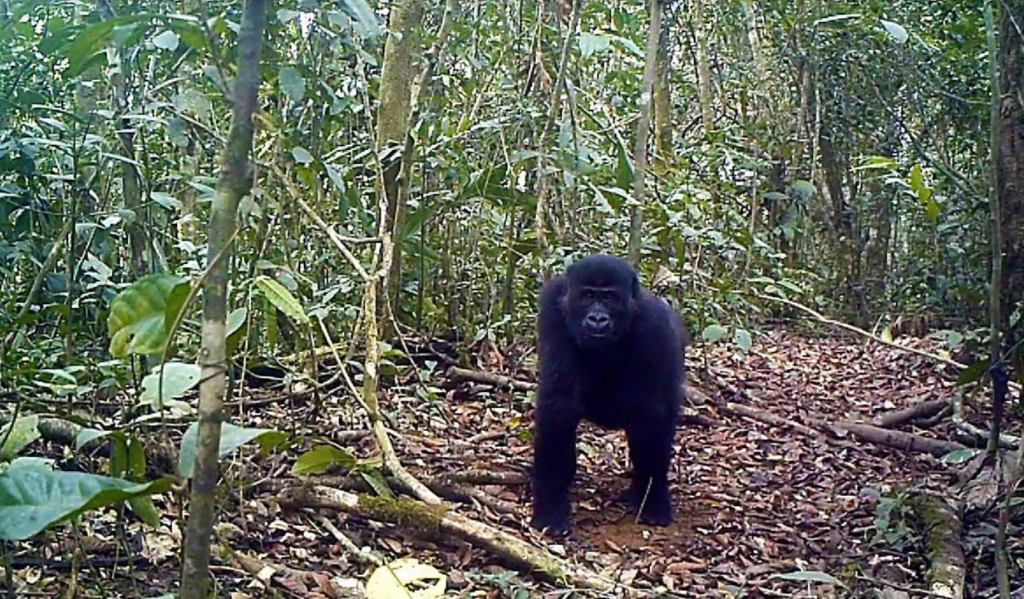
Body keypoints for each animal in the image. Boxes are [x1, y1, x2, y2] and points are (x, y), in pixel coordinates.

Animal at [528, 254, 688, 536]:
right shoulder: (552, 309)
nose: (597, 319)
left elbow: (649, 414)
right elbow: (559, 403)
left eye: (610, 298)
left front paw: (653, 499)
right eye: (588, 295)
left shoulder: (654, 326)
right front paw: (550, 504)